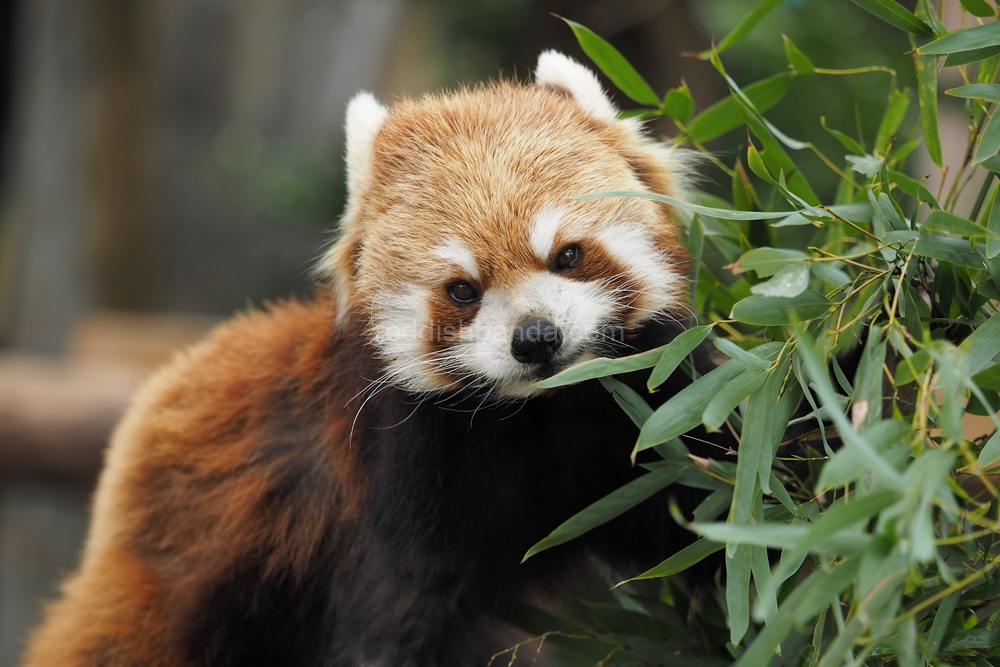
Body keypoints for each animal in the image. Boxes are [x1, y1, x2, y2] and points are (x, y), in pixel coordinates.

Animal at [17, 53, 704, 667]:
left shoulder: (630, 428)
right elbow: (384, 628)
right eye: (462, 290)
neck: (535, 418)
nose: (535, 339)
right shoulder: (392, 501)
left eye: (567, 254)